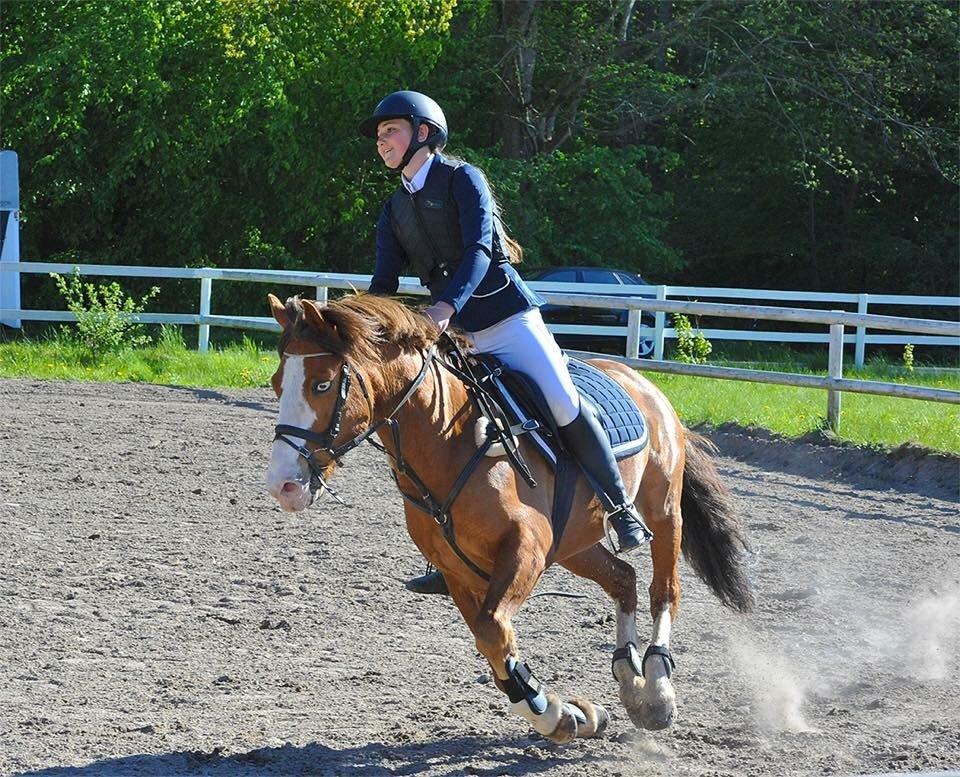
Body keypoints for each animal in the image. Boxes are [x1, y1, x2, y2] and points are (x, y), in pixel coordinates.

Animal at [266, 294, 752, 744]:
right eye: (275, 384)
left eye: (323, 384)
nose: (282, 485)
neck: (449, 440)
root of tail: (645, 384)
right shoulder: (458, 572)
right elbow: (494, 645)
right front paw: (568, 715)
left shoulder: (525, 551)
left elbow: (492, 632)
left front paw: (557, 713)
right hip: (574, 543)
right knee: (623, 579)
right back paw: (629, 682)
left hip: (663, 512)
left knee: (663, 590)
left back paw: (655, 690)